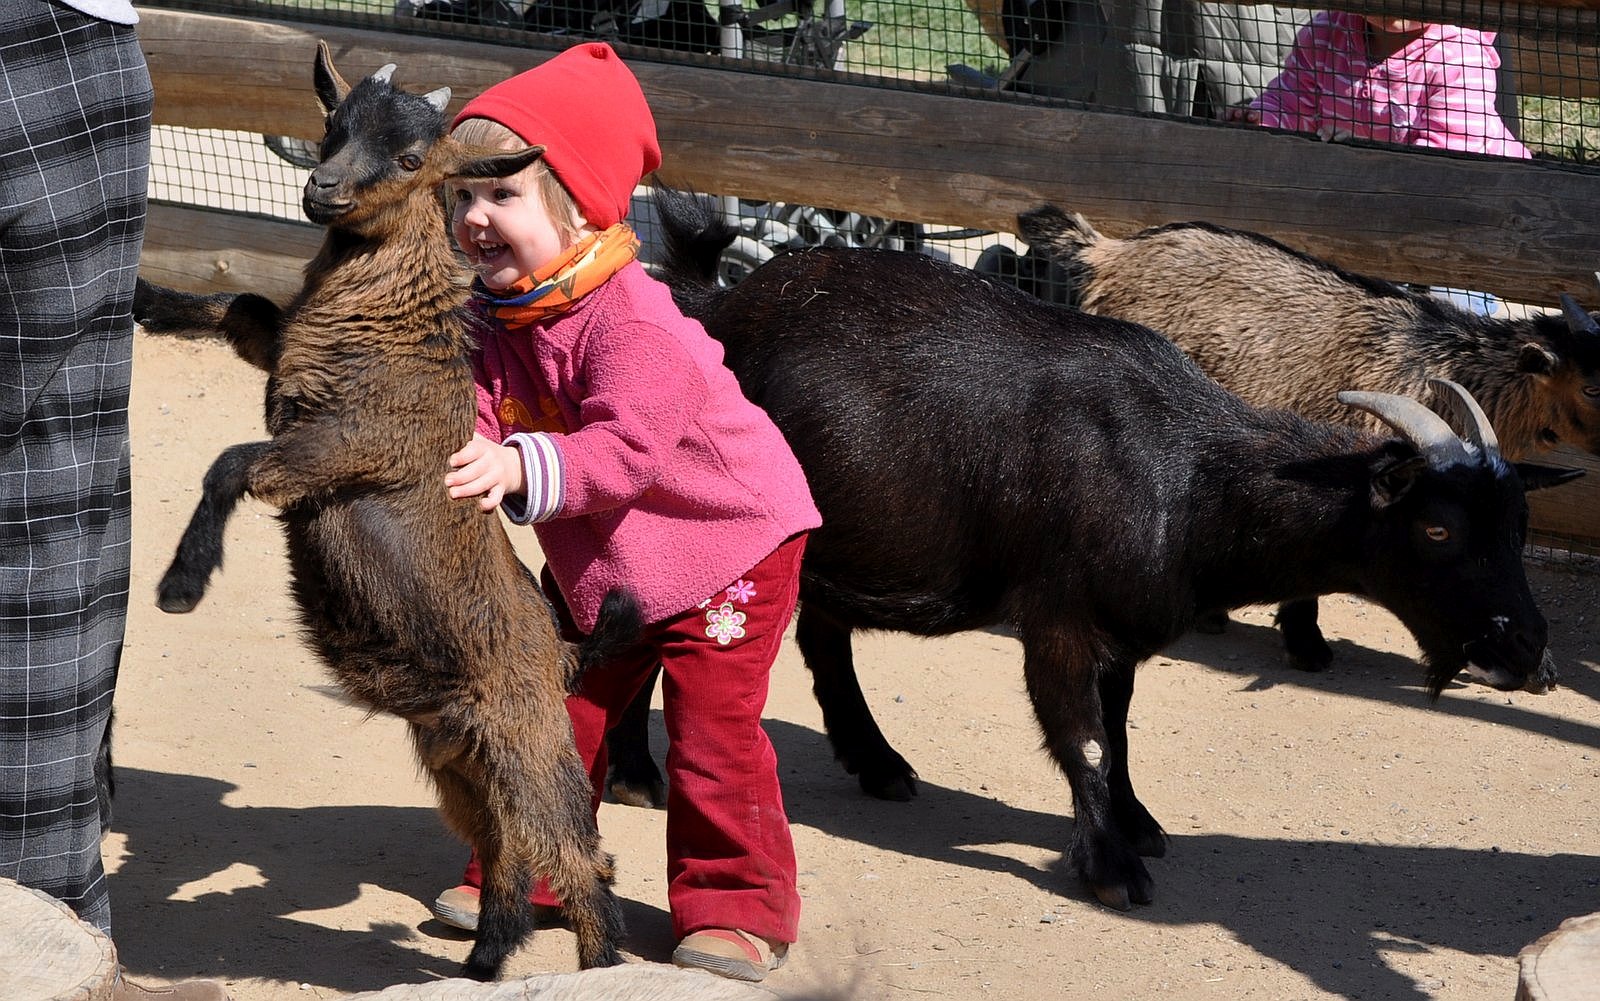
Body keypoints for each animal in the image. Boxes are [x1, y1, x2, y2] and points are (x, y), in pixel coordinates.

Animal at [132, 44, 630, 972]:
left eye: (411, 159)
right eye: (332, 124)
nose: (321, 189)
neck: (384, 324)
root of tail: (564, 651)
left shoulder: (348, 450)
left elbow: (230, 464)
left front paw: (182, 584)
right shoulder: (287, 372)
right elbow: (244, 306)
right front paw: (149, 297)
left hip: (531, 744)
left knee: (578, 860)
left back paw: (598, 966)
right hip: (457, 758)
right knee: (505, 849)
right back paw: (484, 960)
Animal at [611, 183, 1574, 908]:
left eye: (1520, 527)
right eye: (1438, 527)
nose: (1531, 653)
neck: (1187, 479)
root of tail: (713, 304)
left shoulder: (1124, 631)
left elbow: (1118, 728)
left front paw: (1136, 822)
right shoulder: (1060, 619)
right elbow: (1084, 739)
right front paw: (1112, 866)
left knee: (824, 637)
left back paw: (877, 762)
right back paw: (634, 775)